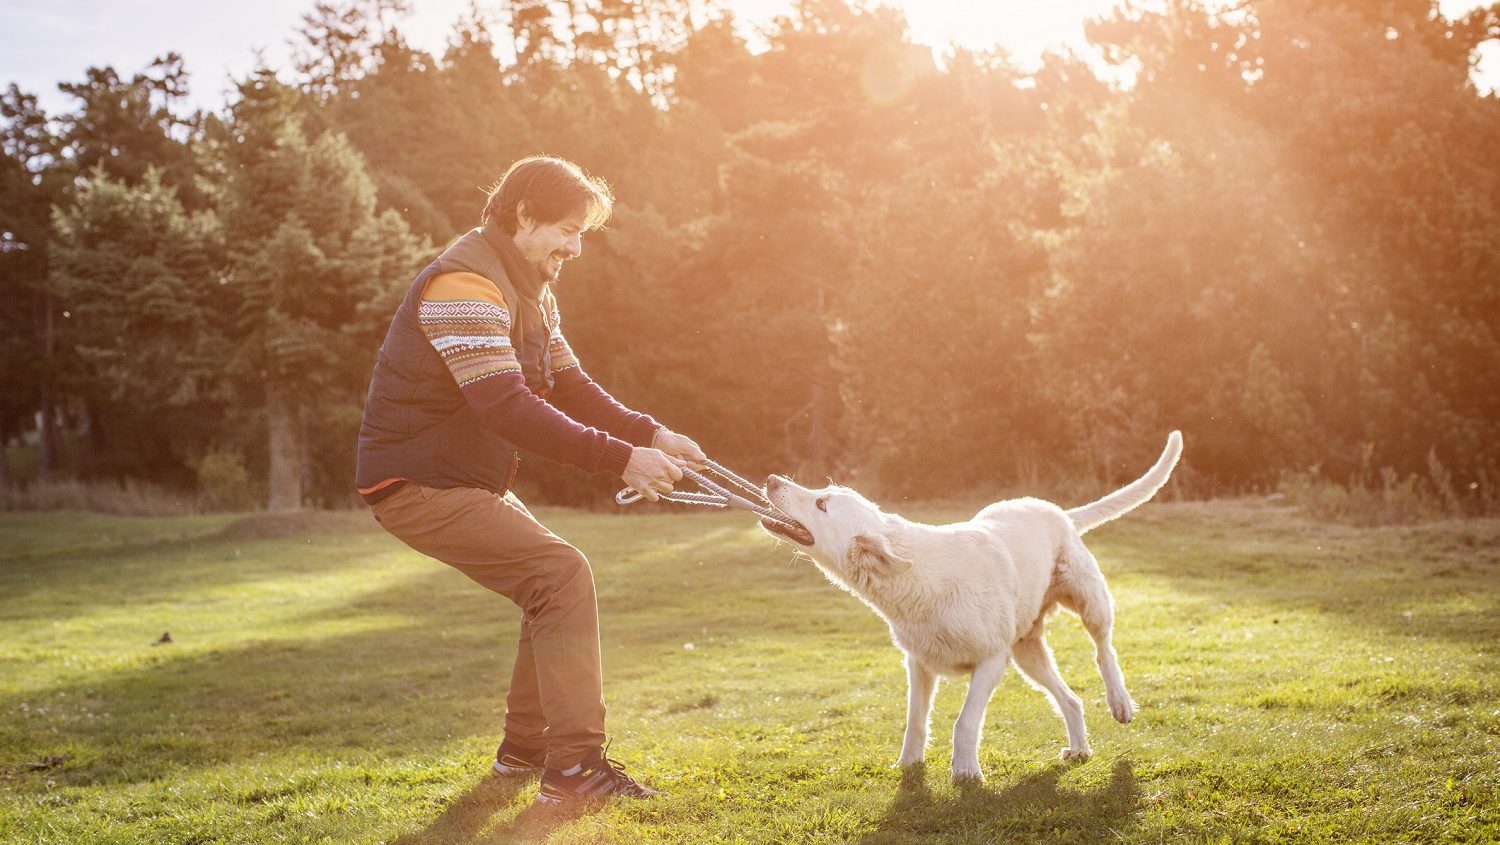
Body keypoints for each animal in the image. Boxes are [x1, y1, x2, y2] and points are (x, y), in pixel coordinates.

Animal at [762, 432, 1182, 786]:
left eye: (821, 503)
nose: (770, 479)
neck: (917, 577)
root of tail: (1058, 511)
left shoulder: (991, 662)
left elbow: (964, 722)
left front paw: (965, 773)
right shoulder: (919, 664)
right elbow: (916, 721)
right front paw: (908, 765)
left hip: (1088, 601)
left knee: (1104, 650)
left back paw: (1120, 703)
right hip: (1027, 654)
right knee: (1071, 699)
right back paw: (1079, 749)